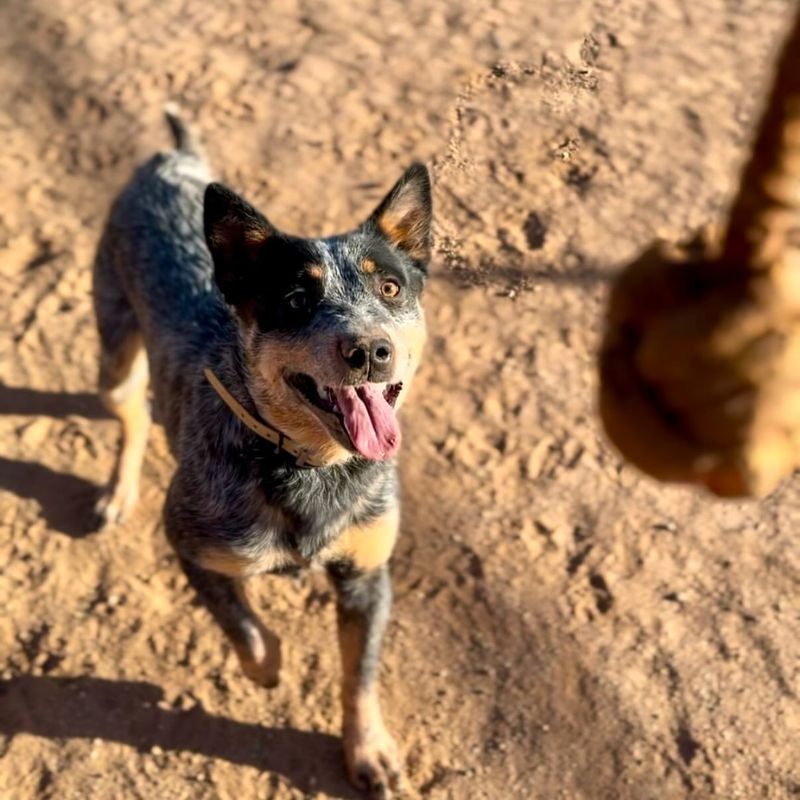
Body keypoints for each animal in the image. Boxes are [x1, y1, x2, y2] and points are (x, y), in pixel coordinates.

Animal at [90, 108, 432, 800]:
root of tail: (167, 160)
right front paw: (270, 665)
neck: (310, 467)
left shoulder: (367, 576)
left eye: (390, 287)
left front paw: (368, 750)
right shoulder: (189, 545)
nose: (370, 349)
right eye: (296, 300)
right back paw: (118, 491)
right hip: (111, 353)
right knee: (132, 415)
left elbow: (359, 677)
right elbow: (245, 630)